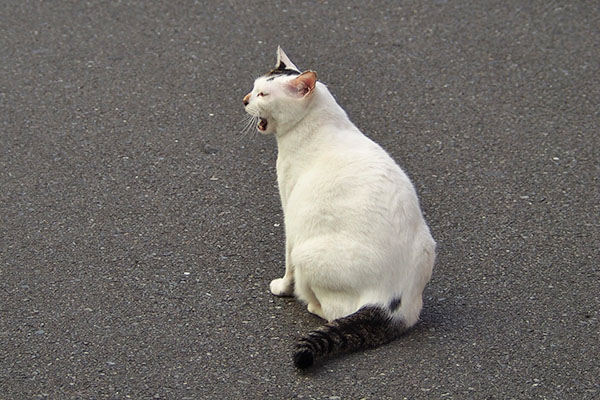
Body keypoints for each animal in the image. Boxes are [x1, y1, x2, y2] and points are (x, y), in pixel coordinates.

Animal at [243, 47, 436, 368]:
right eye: (253, 87)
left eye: (263, 94)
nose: (244, 99)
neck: (319, 124)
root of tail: (392, 305)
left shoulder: (290, 214)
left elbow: (287, 266)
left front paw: (282, 288)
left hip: (307, 253)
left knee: (336, 311)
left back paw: (312, 304)